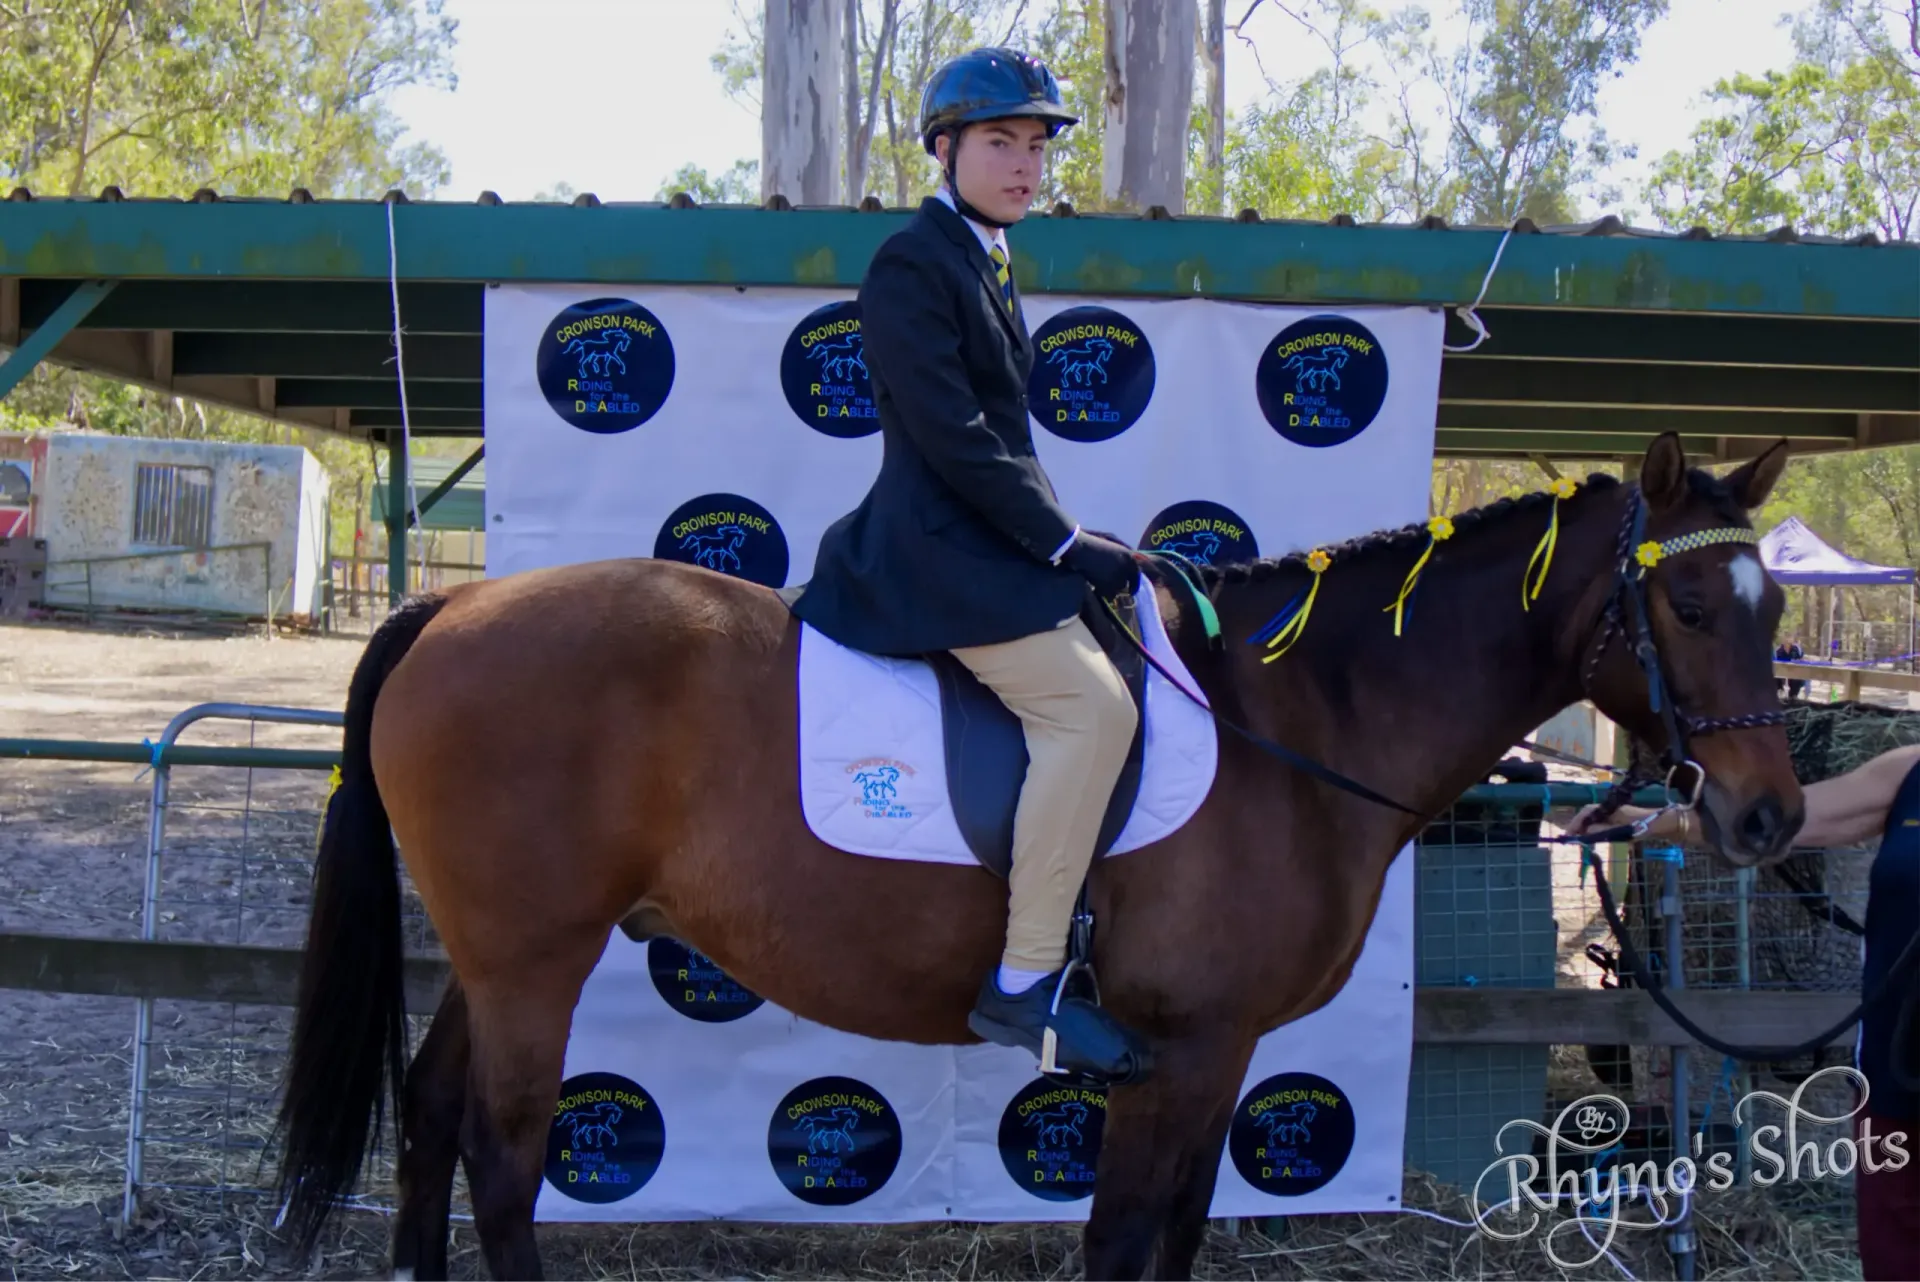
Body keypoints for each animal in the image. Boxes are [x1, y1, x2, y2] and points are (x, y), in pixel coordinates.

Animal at [271, 435, 1803, 1280]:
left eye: (1777, 606)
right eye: (1681, 600)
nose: (1769, 818)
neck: (1294, 722)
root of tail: (452, 607)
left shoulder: (1222, 1053)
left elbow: (1177, 1235)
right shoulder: (1175, 1052)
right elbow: (1123, 1241)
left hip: (496, 960)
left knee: (430, 1120)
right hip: (537, 961)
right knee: (499, 1154)